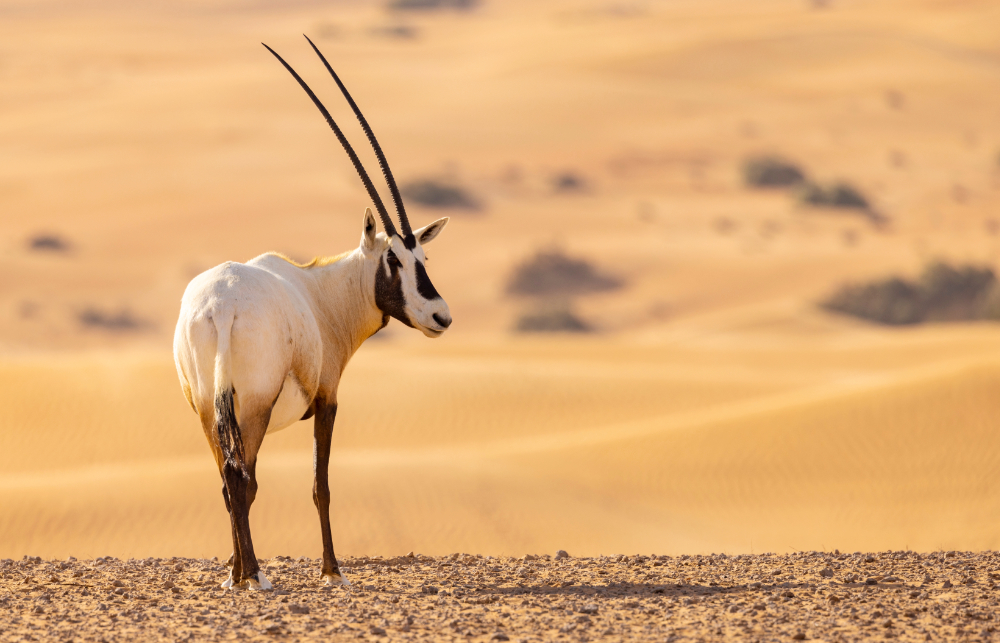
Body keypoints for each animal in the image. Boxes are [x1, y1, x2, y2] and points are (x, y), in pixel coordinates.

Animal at [173, 37, 454, 592]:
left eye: (423, 258)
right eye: (394, 260)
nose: (440, 316)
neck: (322, 294)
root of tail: (220, 306)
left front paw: (233, 574)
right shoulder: (327, 399)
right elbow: (320, 485)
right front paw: (332, 570)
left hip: (207, 408)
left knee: (228, 480)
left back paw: (238, 574)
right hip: (254, 406)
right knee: (243, 479)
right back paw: (256, 576)